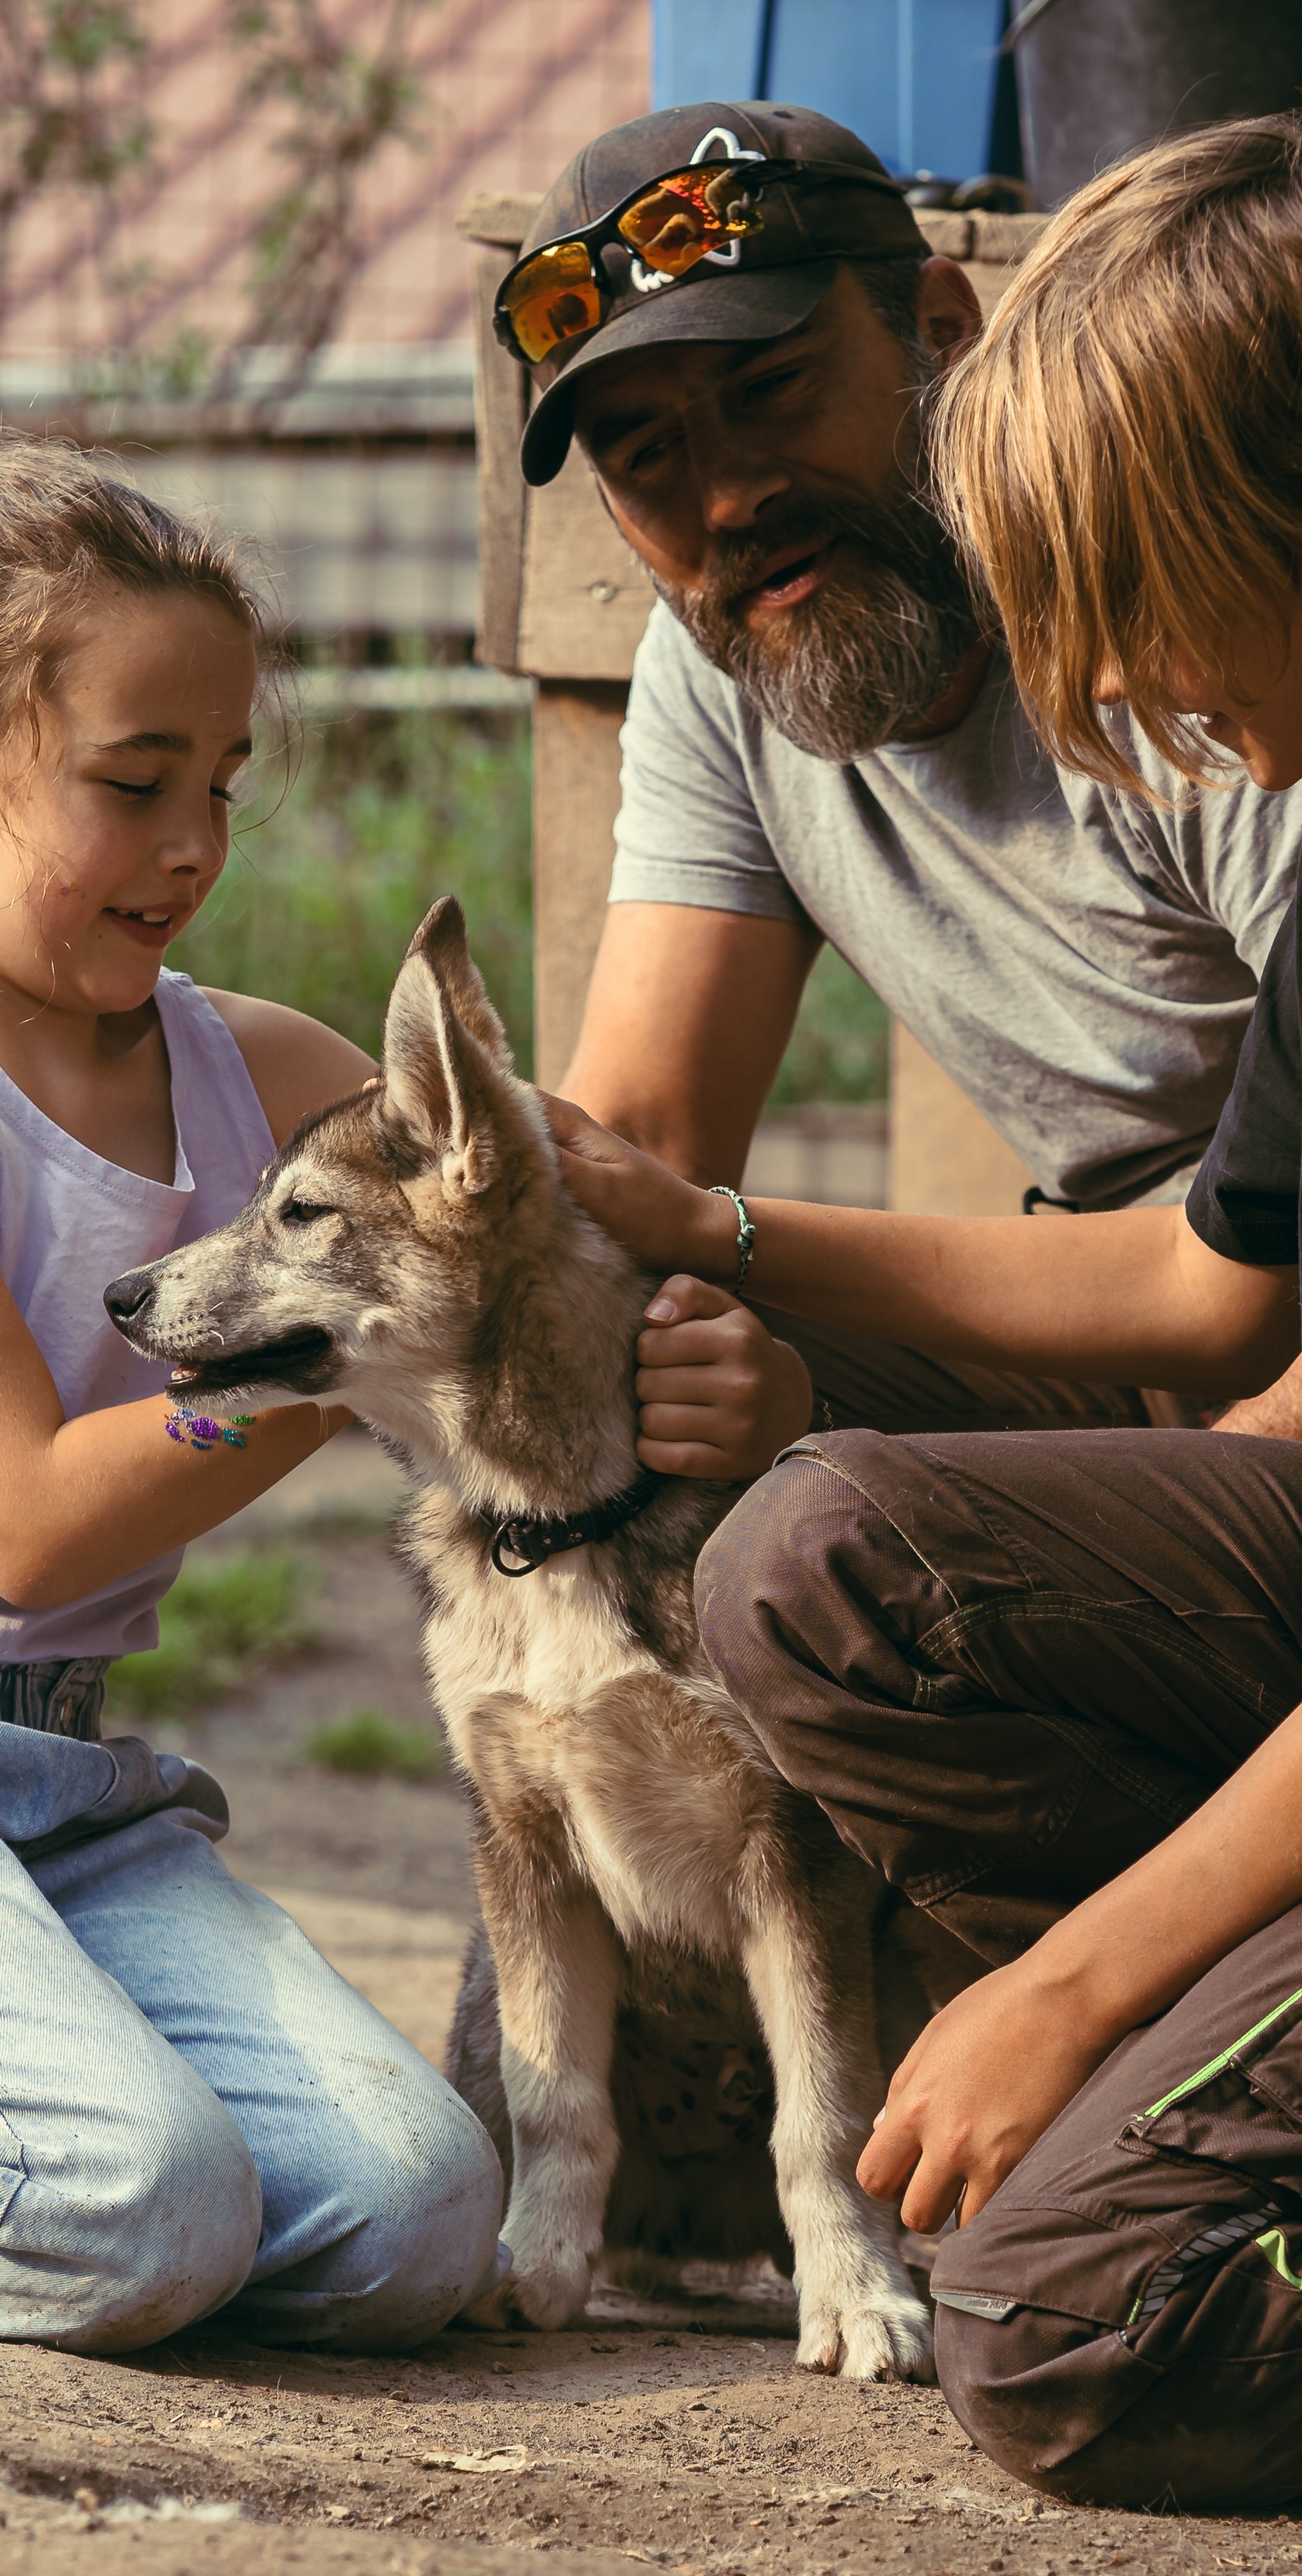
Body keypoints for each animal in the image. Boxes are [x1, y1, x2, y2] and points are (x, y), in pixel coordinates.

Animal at [101, 896, 936, 2380]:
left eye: (301, 1213)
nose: (121, 1297)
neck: (555, 1528)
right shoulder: (523, 1847)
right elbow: (561, 2101)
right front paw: (534, 2269)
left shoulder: (796, 1854)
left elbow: (828, 2116)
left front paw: (859, 2298)